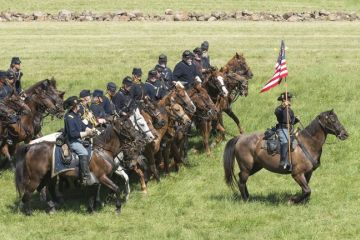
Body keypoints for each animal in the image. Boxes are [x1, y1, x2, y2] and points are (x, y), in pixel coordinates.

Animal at [15, 115, 145, 215]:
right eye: (127, 126)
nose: (140, 138)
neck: (102, 151)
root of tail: (31, 147)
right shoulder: (102, 177)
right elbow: (116, 188)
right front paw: (117, 208)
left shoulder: (96, 180)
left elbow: (93, 195)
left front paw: (91, 209)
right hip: (36, 177)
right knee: (28, 193)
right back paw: (29, 212)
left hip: (48, 177)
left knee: (43, 189)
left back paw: (52, 207)